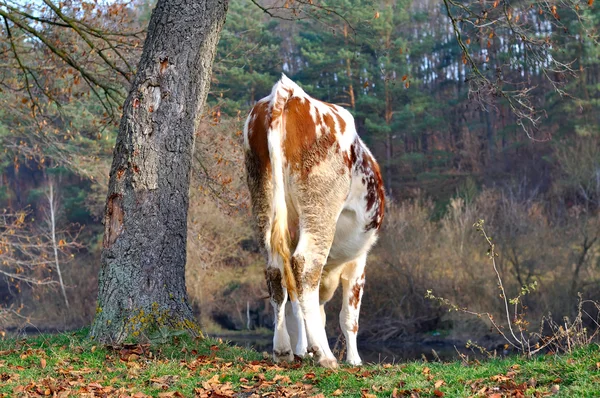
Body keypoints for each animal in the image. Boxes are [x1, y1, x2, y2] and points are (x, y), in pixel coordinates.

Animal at [243, 74, 384, 366]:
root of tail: (290, 92)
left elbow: (302, 307)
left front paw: (301, 349)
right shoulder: (359, 260)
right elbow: (348, 317)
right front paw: (354, 360)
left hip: (262, 197)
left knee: (276, 271)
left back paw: (283, 350)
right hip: (320, 208)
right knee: (304, 264)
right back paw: (325, 355)